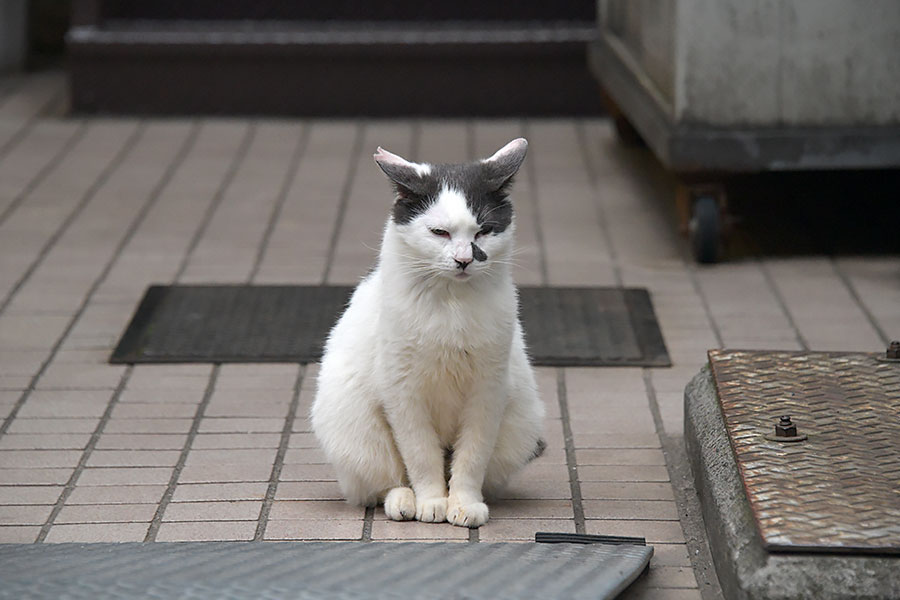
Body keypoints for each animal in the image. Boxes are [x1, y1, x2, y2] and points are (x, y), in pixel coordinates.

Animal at [312, 138, 544, 528]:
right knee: (384, 481)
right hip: (355, 426)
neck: (451, 305)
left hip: (518, 421)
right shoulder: (402, 393)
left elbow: (472, 456)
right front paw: (433, 501)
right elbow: (420, 455)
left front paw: (463, 503)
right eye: (440, 233)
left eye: (483, 230)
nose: (465, 260)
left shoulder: (489, 392)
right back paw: (404, 501)